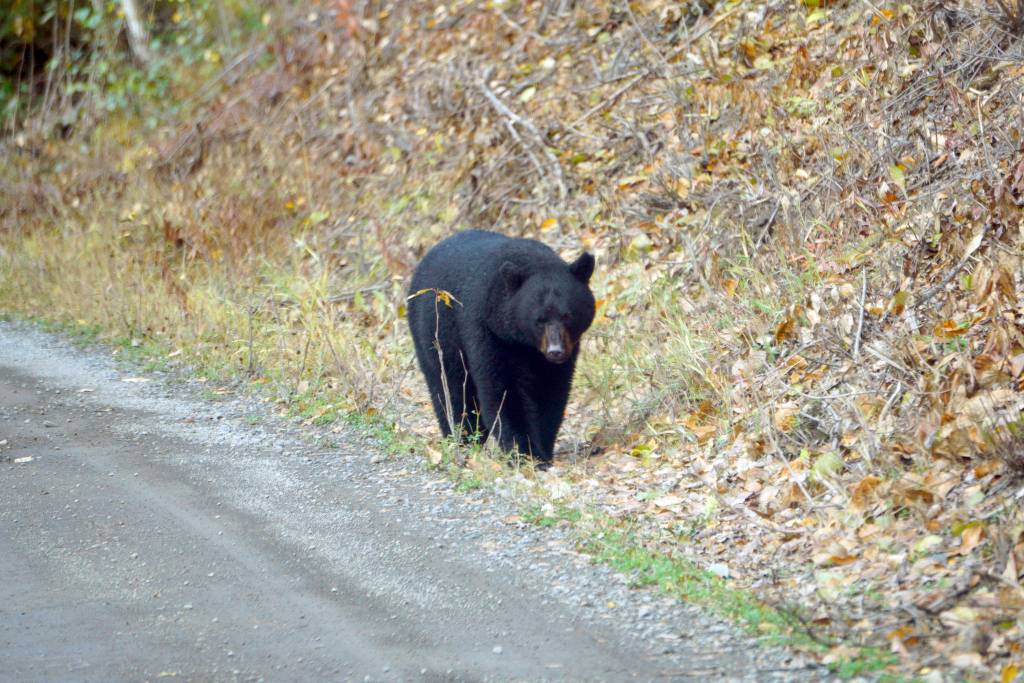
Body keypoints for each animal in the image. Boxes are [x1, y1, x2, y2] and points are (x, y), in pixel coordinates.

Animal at [407, 229, 596, 466]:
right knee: (451, 388)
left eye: (567, 316)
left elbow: (550, 391)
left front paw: (543, 449)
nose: (555, 351)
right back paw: (463, 438)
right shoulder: (488, 331)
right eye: (539, 319)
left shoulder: (560, 353)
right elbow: (503, 390)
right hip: (435, 335)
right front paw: (525, 452)